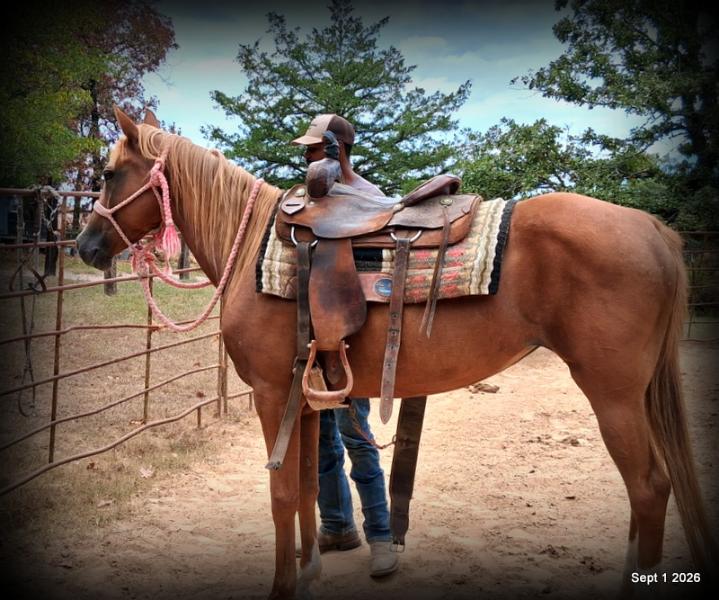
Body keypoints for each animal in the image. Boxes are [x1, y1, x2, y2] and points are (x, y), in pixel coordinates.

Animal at [76, 107, 716, 599]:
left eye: (107, 174)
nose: (84, 245)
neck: (254, 241)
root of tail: (652, 229)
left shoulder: (272, 394)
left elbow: (281, 494)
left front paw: (284, 586)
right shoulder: (305, 397)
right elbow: (308, 486)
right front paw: (309, 572)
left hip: (614, 393)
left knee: (649, 488)